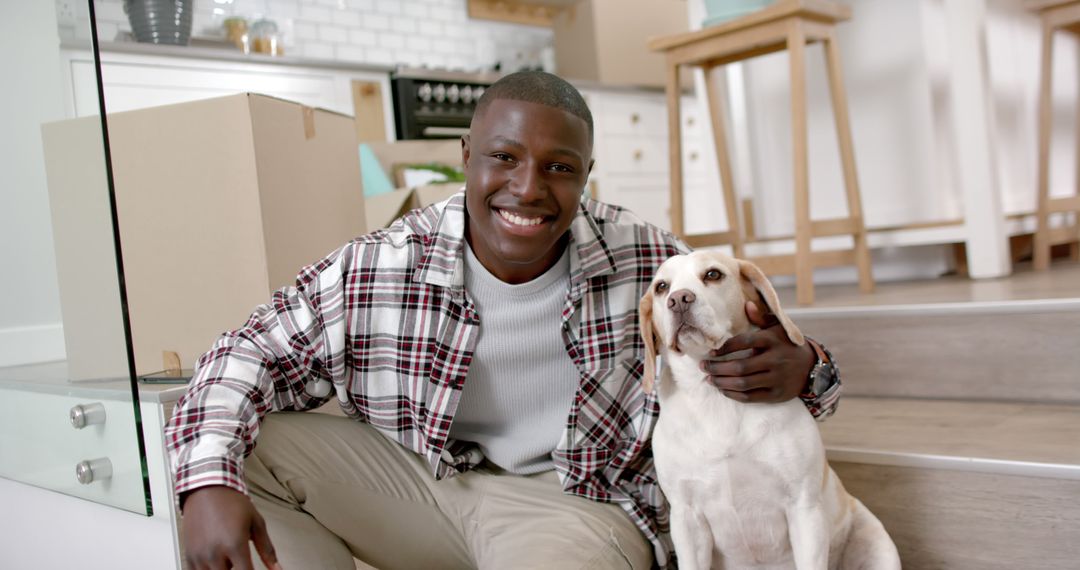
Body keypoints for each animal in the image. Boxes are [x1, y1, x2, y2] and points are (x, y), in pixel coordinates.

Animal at [635, 251, 898, 565]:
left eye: (713, 274)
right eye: (662, 287)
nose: (679, 299)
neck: (716, 400)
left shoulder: (804, 509)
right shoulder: (687, 520)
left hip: (876, 544)